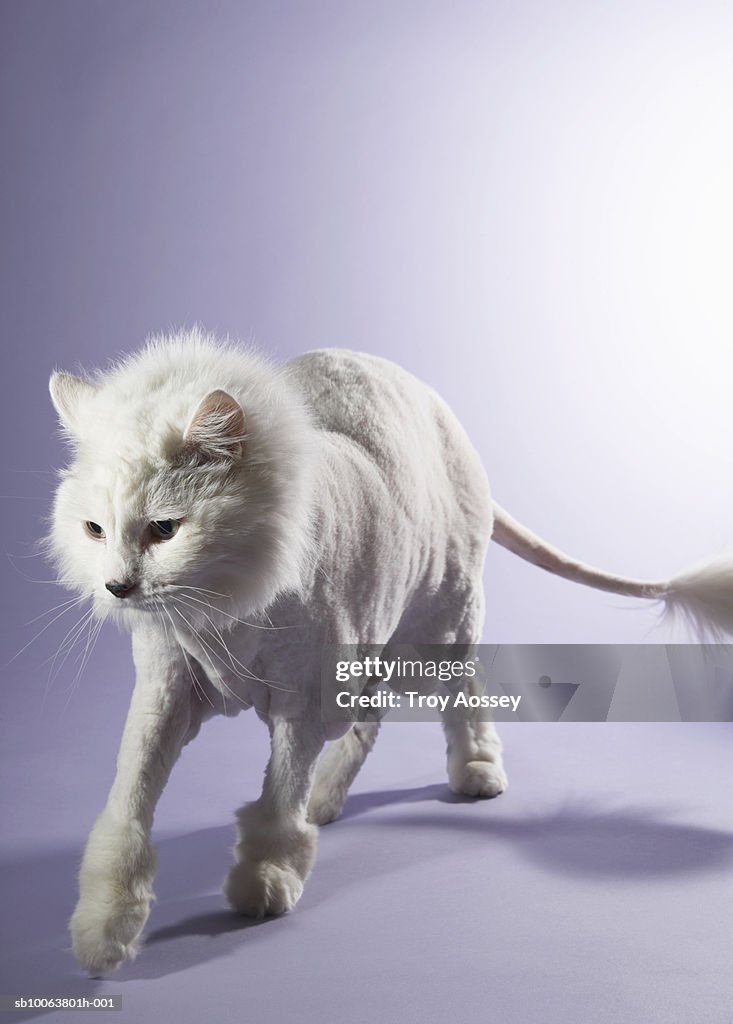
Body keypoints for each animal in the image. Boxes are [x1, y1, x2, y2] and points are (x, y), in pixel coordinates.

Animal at [48, 329, 733, 974]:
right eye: (95, 530)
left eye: (164, 529)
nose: (117, 586)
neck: (228, 609)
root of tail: (437, 405)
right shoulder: (166, 696)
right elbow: (129, 808)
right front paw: (104, 931)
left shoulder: (303, 700)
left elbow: (277, 798)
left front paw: (265, 882)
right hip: (370, 647)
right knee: (368, 721)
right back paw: (326, 801)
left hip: (438, 628)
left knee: (462, 699)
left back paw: (475, 772)